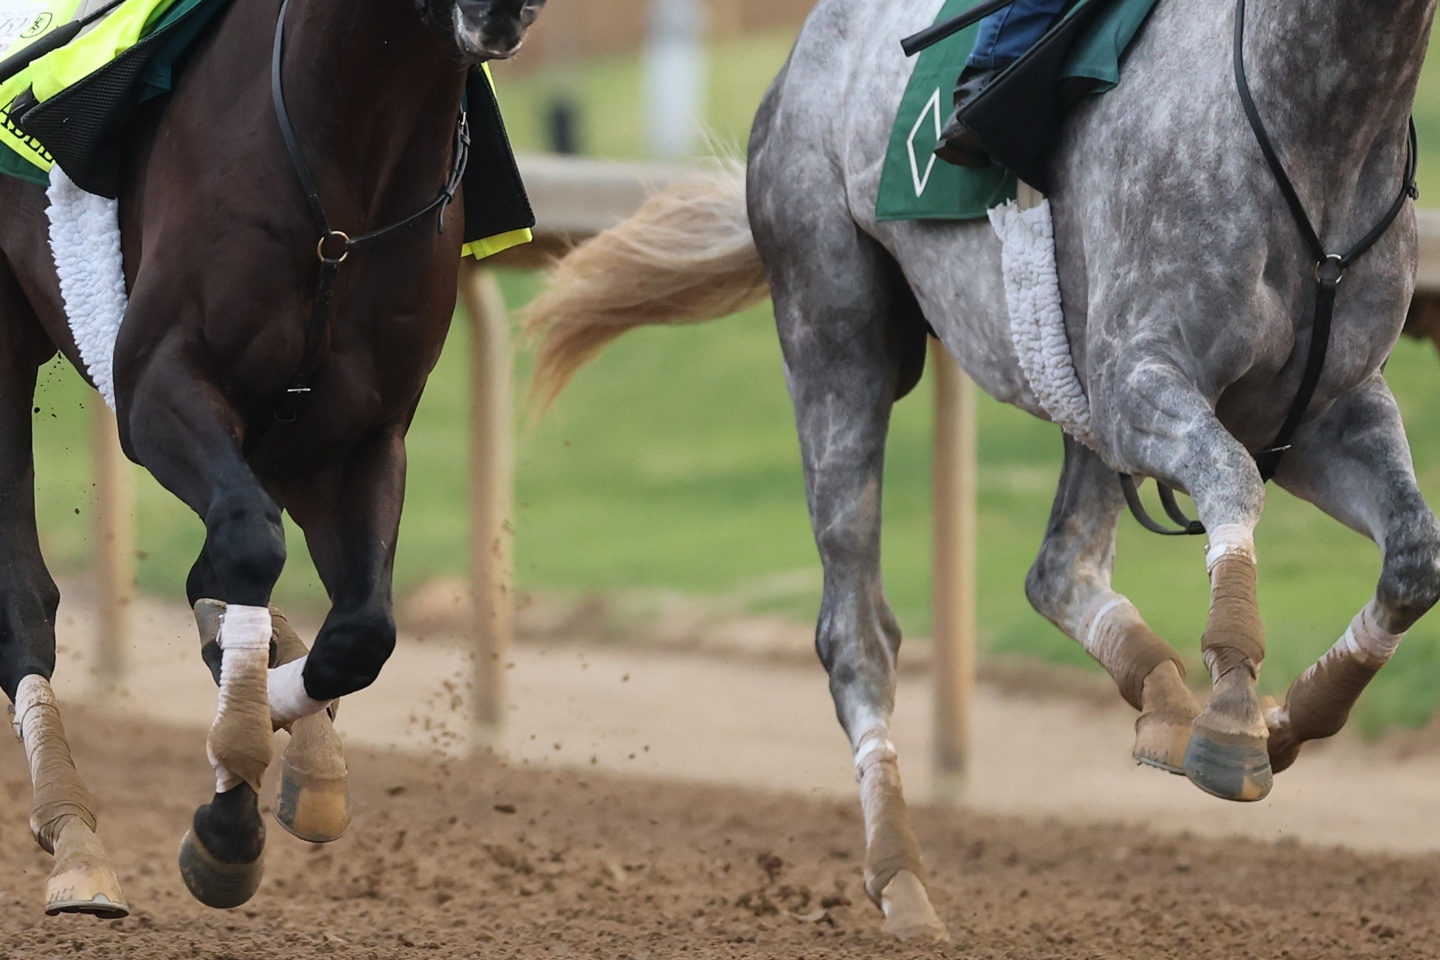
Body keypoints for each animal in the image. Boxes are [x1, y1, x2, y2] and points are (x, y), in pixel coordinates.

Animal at [0, 0, 545, 919]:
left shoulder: (354, 439)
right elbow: (251, 547)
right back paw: (75, 841)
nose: (504, 10)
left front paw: (282, 757)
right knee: (25, 603)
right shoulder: (158, 380)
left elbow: (357, 632)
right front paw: (231, 805)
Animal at [524, 0, 1437, 941]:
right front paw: (1231, 719)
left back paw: (1161, 703)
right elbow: (1231, 479)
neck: (1318, 132)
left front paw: (1295, 715)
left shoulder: (1323, 408)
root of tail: (803, 55)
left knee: (1059, 570)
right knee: (857, 633)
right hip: (834, 333)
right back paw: (902, 881)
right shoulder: (1139, 380)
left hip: (1065, 388)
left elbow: (1415, 555)